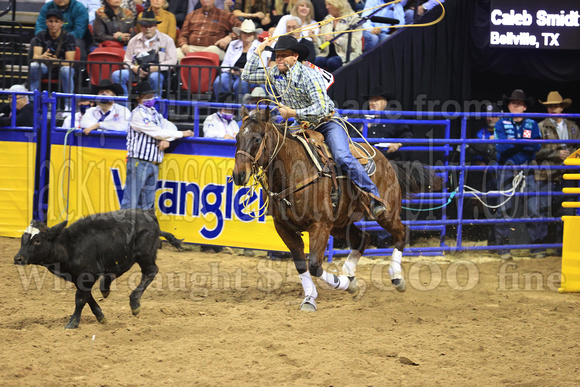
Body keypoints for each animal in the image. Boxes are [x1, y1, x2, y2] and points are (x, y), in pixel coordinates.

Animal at [231, 106, 440, 312]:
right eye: (237, 138)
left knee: (402, 232)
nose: (239, 175)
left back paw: (396, 277)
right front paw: (311, 298)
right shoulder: (283, 227)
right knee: (363, 238)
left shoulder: (320, 225)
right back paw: (350, 274)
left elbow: (315, 265)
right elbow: (301, 265)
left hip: (386, 214)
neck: (294, 172)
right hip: (340, 223)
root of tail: (387, 161)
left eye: (257, 139)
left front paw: (341, 284)